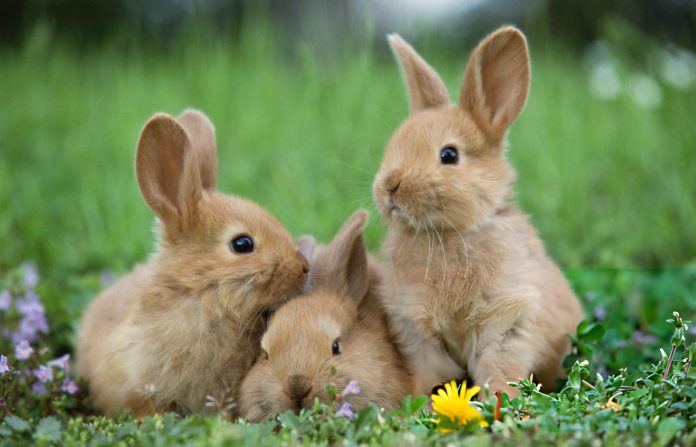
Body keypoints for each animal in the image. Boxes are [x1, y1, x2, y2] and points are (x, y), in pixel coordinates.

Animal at [371, 27, 584, 398]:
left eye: (449, 155)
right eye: (394, 145)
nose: (389, 187)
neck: (447, 233)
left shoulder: (507, 320)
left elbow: (499, 368)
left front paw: (499, 401)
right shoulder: (416, 331)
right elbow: (431, 374)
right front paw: (421, 403)